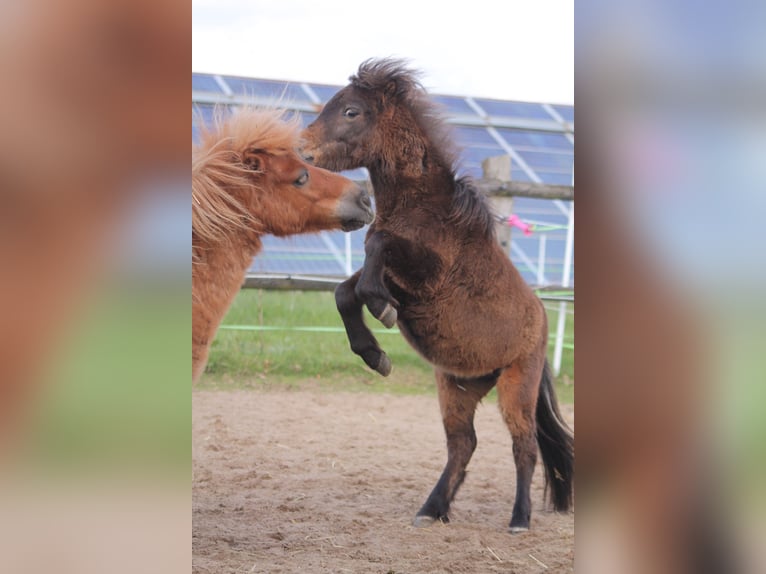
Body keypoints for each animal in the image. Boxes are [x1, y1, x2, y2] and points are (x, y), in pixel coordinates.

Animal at [304, 60, 572, 532]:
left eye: (351, 111)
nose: (303, 151)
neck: (426, 211)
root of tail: (540, 315)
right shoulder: (397, 279)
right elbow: (345, 290)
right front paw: (374, 353)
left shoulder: (424, 274)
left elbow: (377, 249)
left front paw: (381, 312)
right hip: (457, 387)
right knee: (463, 445)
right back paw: (432, 509)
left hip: (516, 384)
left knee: (523, 446)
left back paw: (519, 518)